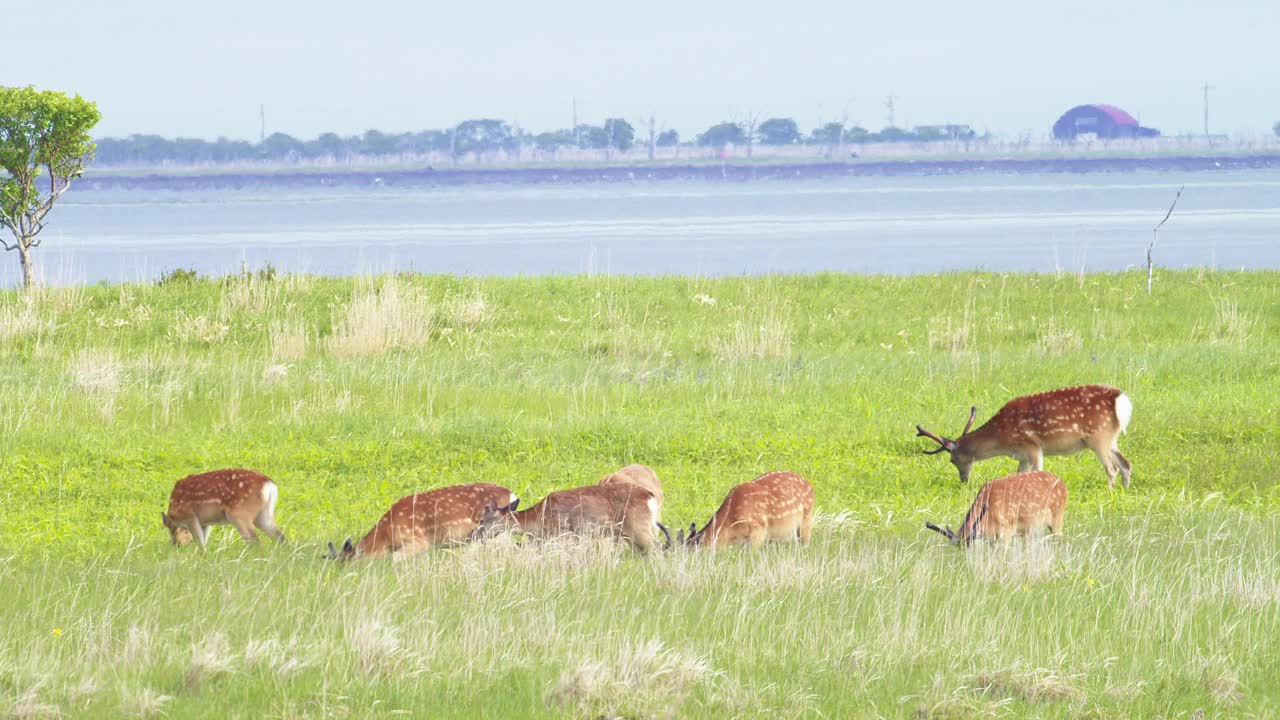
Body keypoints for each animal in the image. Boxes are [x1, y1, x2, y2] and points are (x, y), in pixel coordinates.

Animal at [330, 481, 519, 561]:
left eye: (349, 563)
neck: (387, 534)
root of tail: (512, 495)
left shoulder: (419, 541)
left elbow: (396, 560)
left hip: (496, 529)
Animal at [471, 481, 670, 548]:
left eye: (481, 520)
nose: (473, 535)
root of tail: (649, 497)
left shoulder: (562, 534)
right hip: (628, 534)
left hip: (639, 527)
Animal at [916, 381, 1136, 486]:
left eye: (953, 460)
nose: (963, 480)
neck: (1003, 438)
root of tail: (1121, 400)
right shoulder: (1021, 454)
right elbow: (1019, 475)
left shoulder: (1032, 445)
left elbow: (1038, 472)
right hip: (1112, 439)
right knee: (1126, 464)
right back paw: (1123, 492)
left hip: (1099, 437)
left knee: (1112, 469)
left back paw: (1109, 492)